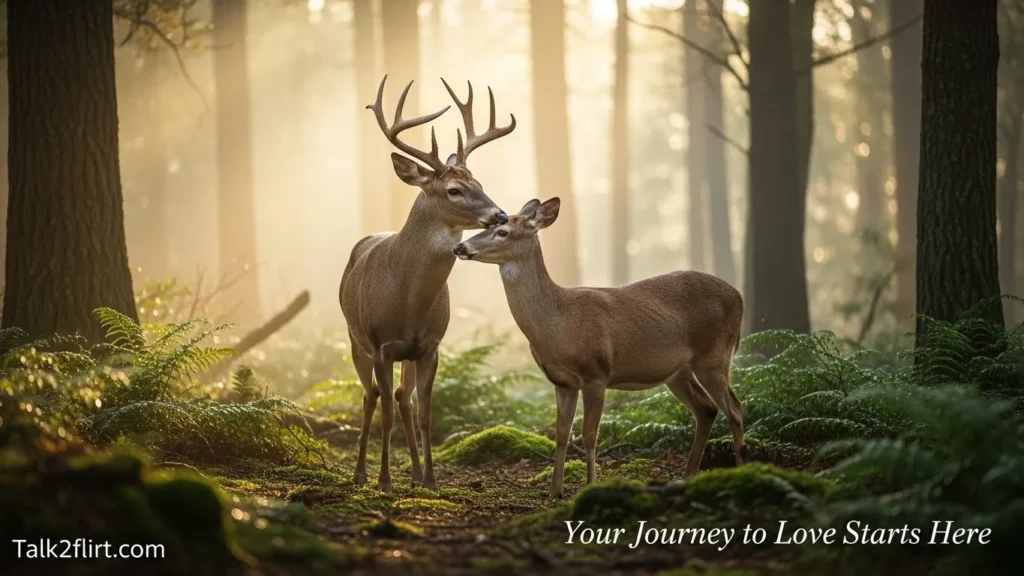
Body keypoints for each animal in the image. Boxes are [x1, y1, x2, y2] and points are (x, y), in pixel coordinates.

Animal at [341, 75, 517, 491]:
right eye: (454, 190)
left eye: (479, 182)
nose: (500, 214)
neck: (408, 302)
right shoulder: (381, 344)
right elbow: (386, 411)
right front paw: (385, 481)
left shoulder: (431, 345)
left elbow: (425, 414)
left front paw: (432, 481)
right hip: (354, 339)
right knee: (371, 397)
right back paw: (360, 474)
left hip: (407, 353)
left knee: (402, 398)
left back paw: (417, 474)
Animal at [453, 198, 745, 497]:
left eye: (503, 232)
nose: (460, 247)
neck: (559, 323)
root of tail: (739, 296)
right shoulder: (562, 381)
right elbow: (562, 432)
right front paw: (555, 491)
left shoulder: (596, 373)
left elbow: (590, 434)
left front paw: (590, 485)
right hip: (677, 372)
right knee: (707, 409)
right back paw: (687, 478)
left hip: (715, 355)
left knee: (735, 408)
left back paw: (739, 470)